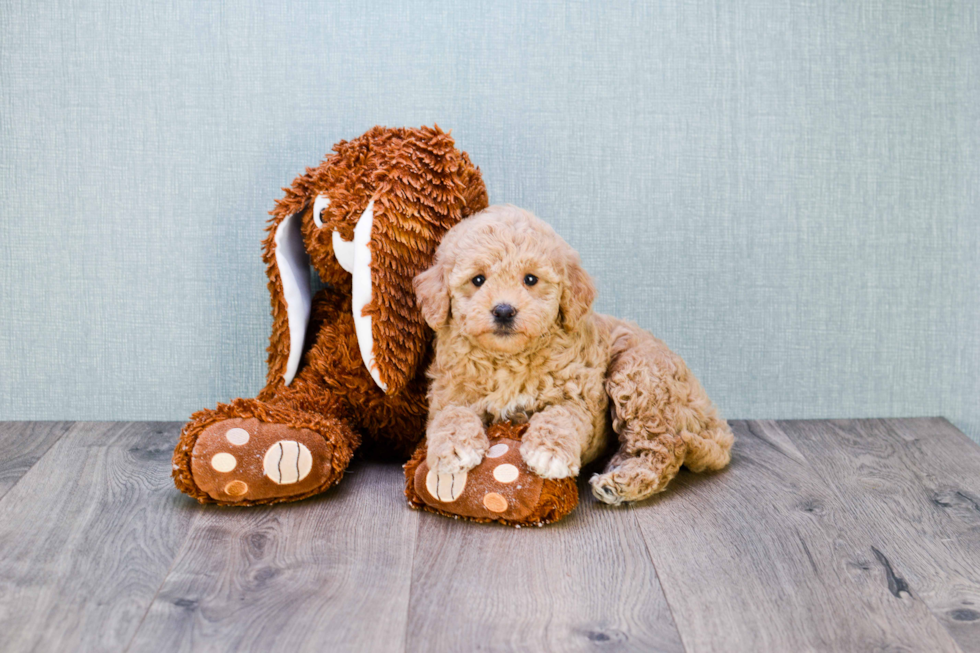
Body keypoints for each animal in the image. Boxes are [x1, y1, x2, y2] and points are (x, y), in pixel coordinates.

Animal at [414, 205, 736, 504]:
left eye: (530, 279)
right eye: (478, 280)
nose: (504, 311)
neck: (509, 360)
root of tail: (714, 421)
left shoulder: (579, 398)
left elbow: (560, 416)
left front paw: (548, 451)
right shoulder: (449, 393)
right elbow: (451, 415)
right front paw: (454, 449)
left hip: (637, 375)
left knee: (664, 448)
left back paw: (620, 484)